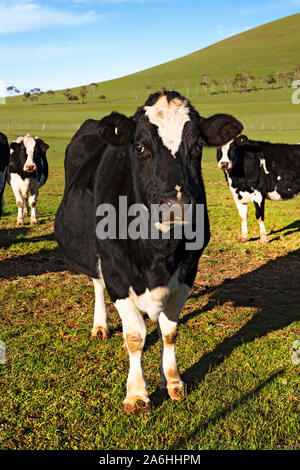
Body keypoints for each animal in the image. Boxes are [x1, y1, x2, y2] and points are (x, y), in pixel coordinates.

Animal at [54, 91, 241, 412]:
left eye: (198, 146)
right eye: (140, 146)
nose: (176, 206)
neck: (158, 251)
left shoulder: (188, 271)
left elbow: (169, 330)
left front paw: (174, 381)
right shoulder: (116, 274)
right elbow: (135, 336)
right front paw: (137, 393)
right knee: (97, 284)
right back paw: (101, 326)